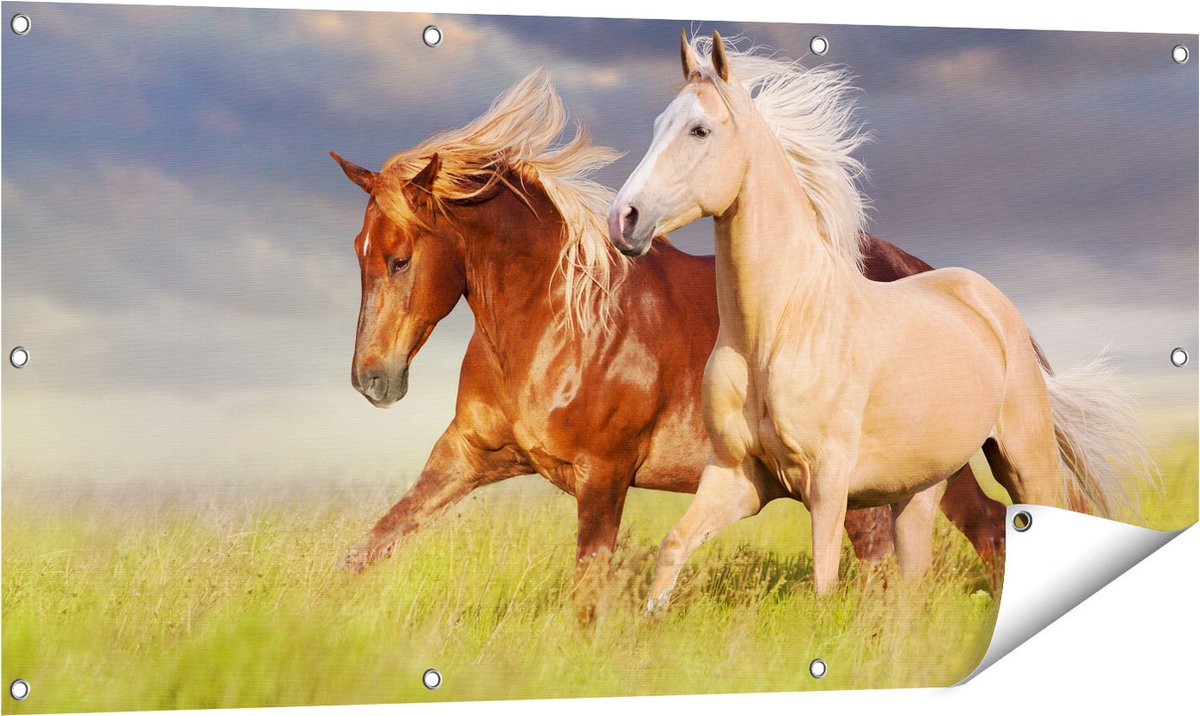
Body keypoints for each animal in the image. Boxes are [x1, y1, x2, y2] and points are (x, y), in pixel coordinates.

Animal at [329, 70, 1008, 593]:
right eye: (359, 253)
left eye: (400, 259)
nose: (372, 381)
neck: (554, 326)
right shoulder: (466, 456)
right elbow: (369, 546)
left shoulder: (604, 475)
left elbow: (588, 590)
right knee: (984, 530)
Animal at [607, 31, 1153, 606]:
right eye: (657, 125)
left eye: (700, 129)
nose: (623, 219)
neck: (777, 330)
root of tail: (993, 305)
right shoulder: (737, 476)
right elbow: (673, 547)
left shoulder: (827, 482)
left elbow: (824, 579)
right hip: (919, 489)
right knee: (915, 579)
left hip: (1023, 457)